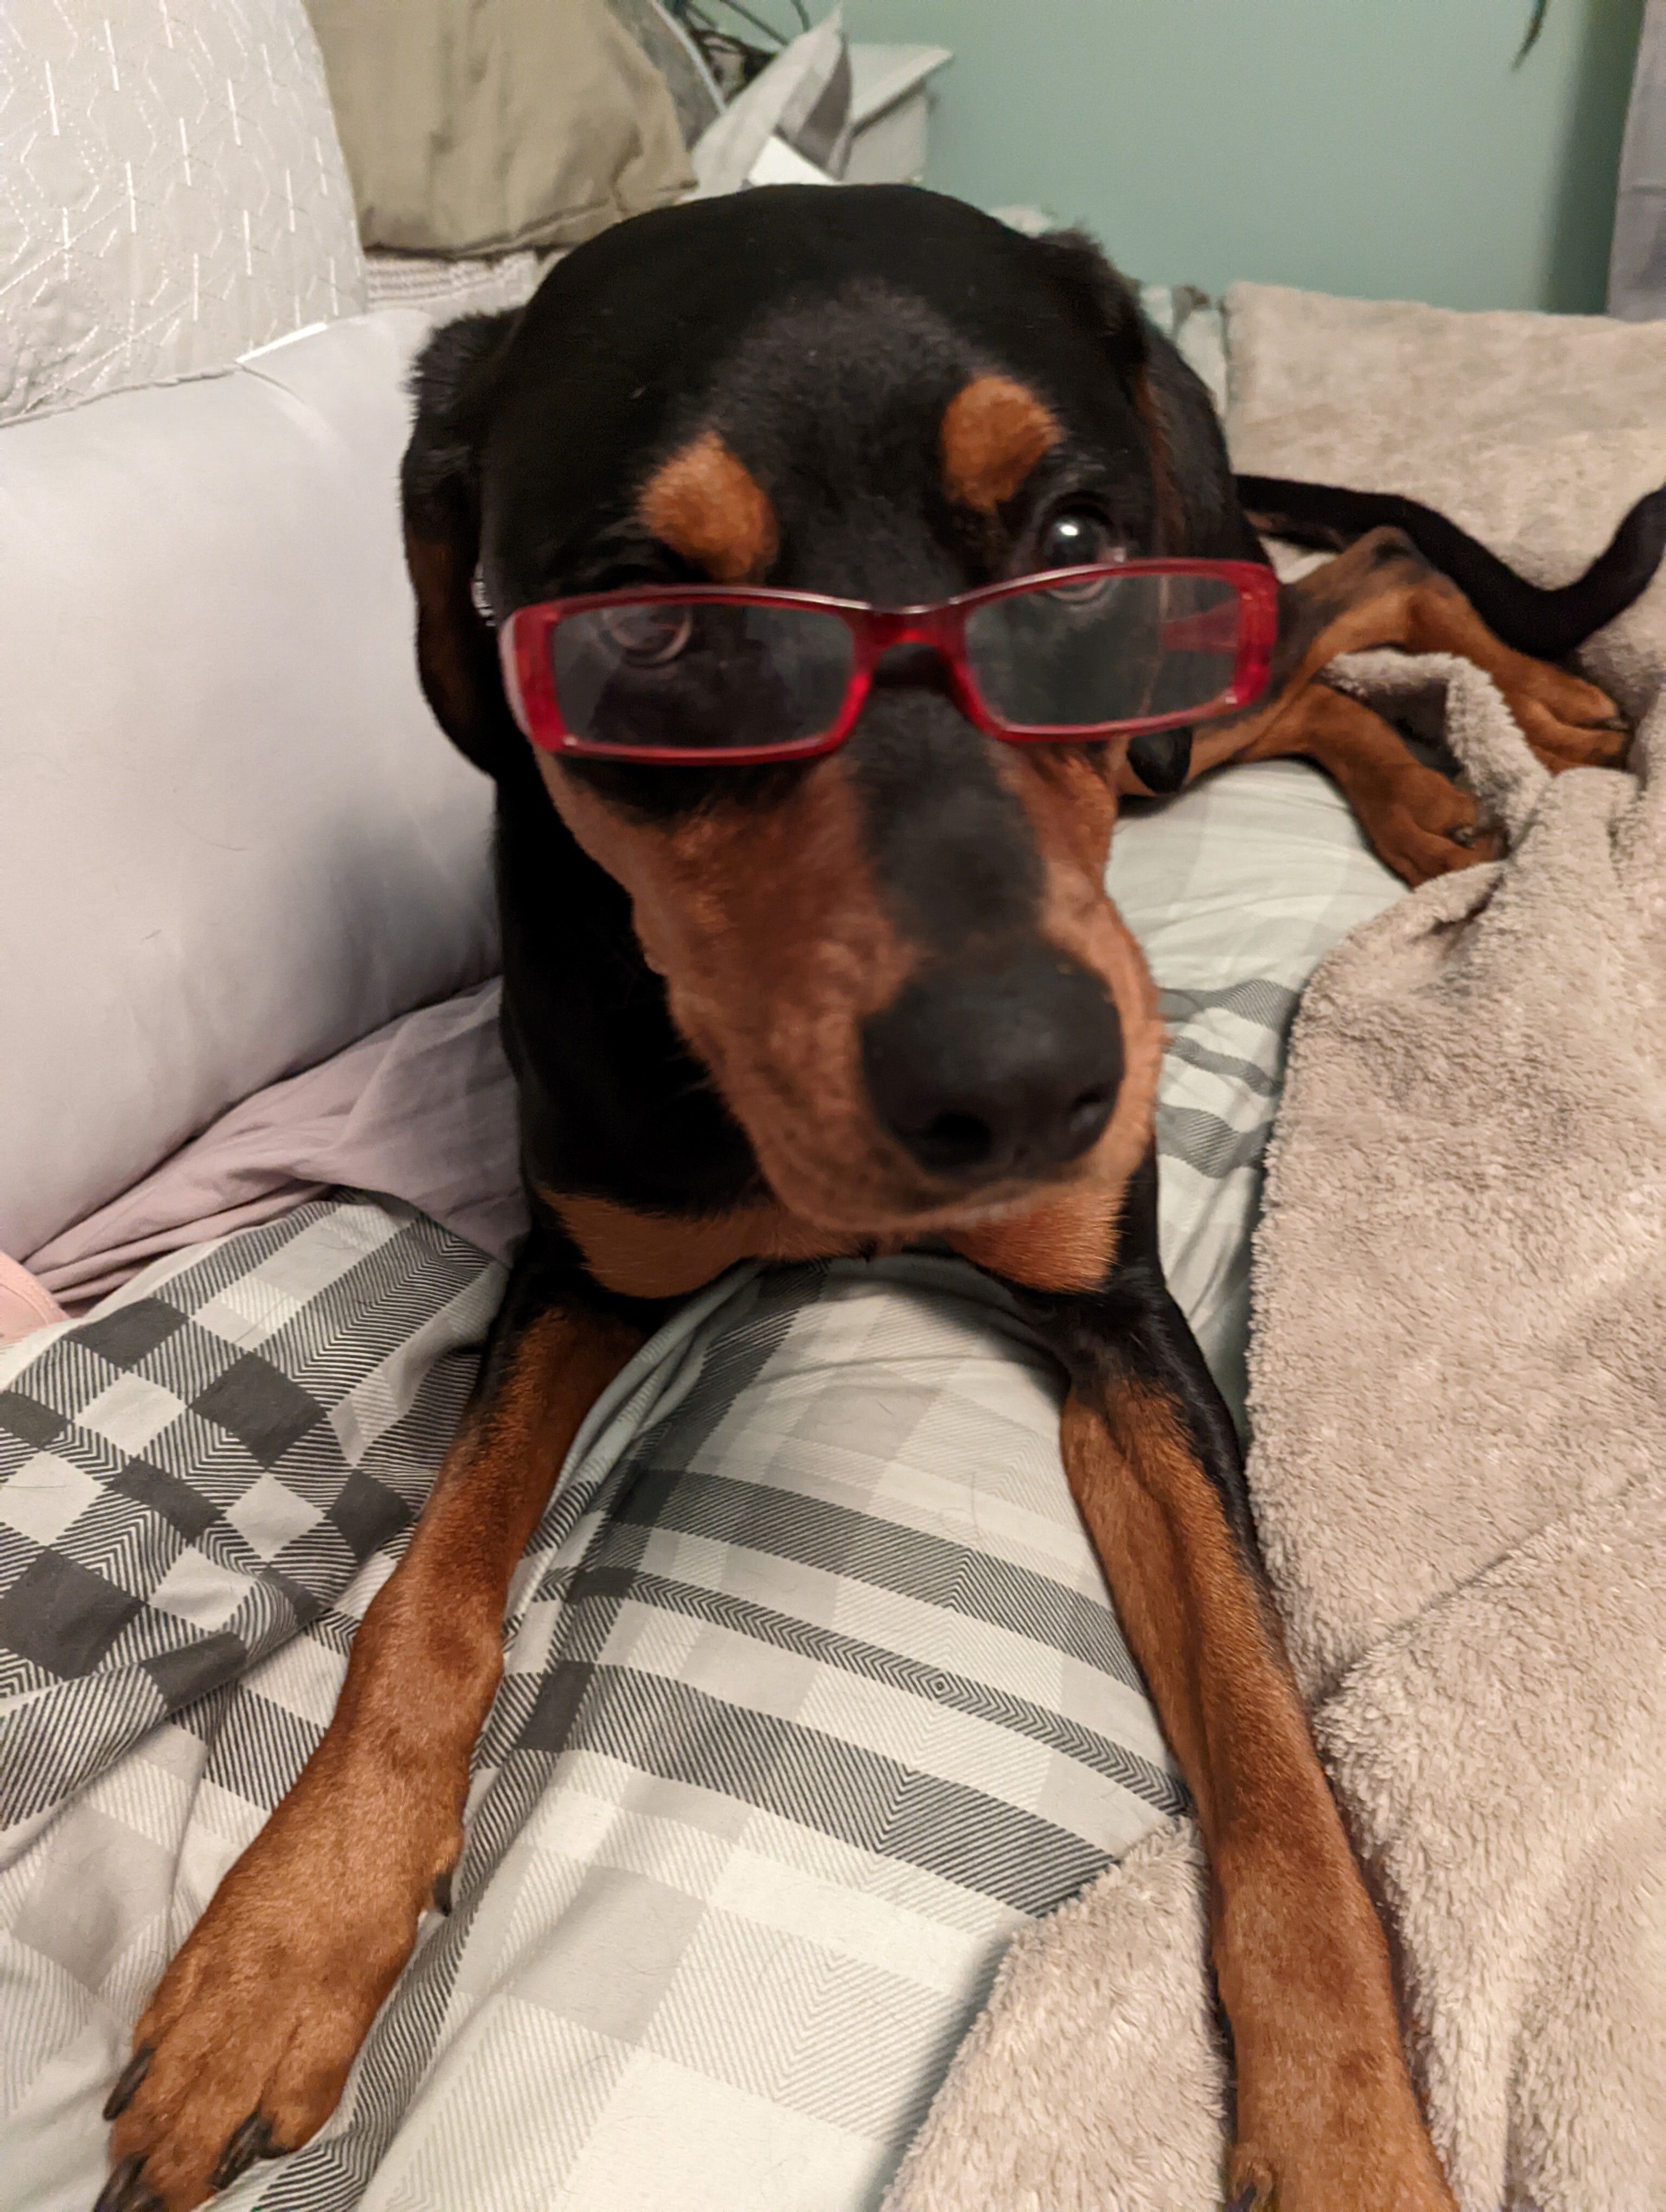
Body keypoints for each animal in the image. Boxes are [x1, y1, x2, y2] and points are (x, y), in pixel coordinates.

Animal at [100, 185, 1663, 2212]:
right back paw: (1453, 769)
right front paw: (287, 1942)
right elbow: (424, 1602)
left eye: (1070, 535)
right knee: (1318, 655)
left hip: (1172, 677)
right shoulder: (576, 1259)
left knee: (1357, 578)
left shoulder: (1123, 1329)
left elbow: (1283, 1770)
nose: (1024, 1087)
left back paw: (1528, 710)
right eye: (650, 621)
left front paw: (1349, 2133)